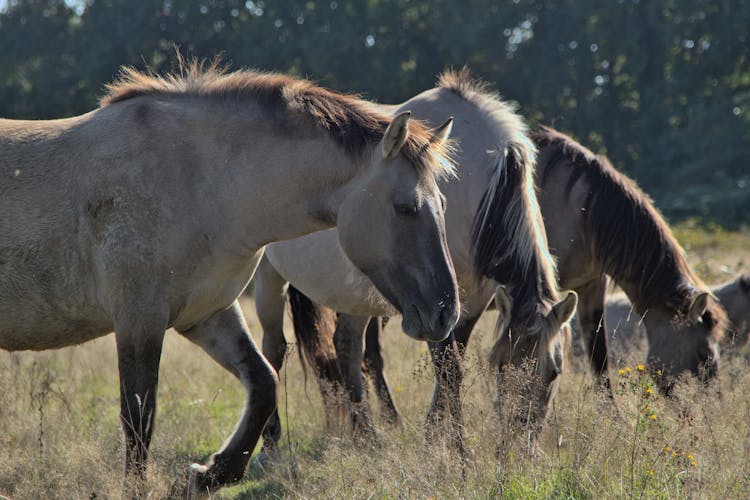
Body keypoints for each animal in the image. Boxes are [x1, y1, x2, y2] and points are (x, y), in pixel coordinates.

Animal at [0, 60, 458, 494]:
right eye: (404, 207)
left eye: (443, 204)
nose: (445, 312)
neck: (199, 181)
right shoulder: (138, 320)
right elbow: (139, 419)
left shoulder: (207, 313)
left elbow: (264, 383)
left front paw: (211, 474)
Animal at [256, 70, 580, 464]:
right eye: (501, 365)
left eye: (553, 373)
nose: (518, 446)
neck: (485, 188)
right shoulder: (436, 301)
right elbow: (449, 370)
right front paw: (454, 448)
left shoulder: (466, 303)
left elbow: (450, 368)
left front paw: (435, 437)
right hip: (268, 278)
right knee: (274, 349)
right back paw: (272, 443)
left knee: (347, 347)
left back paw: (367, 437)